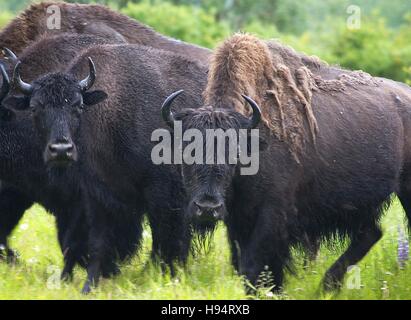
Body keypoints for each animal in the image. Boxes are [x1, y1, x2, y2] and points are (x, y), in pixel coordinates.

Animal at [159, 34, 411, 292]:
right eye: (186, 151)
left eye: (234, 155)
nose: (207, 208)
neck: (252, 138)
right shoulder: (237, 217)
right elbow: (243, 263)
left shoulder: (272, 213)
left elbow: (255, 263)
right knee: (371, 233)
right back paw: (327, 287)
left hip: (404, 190)